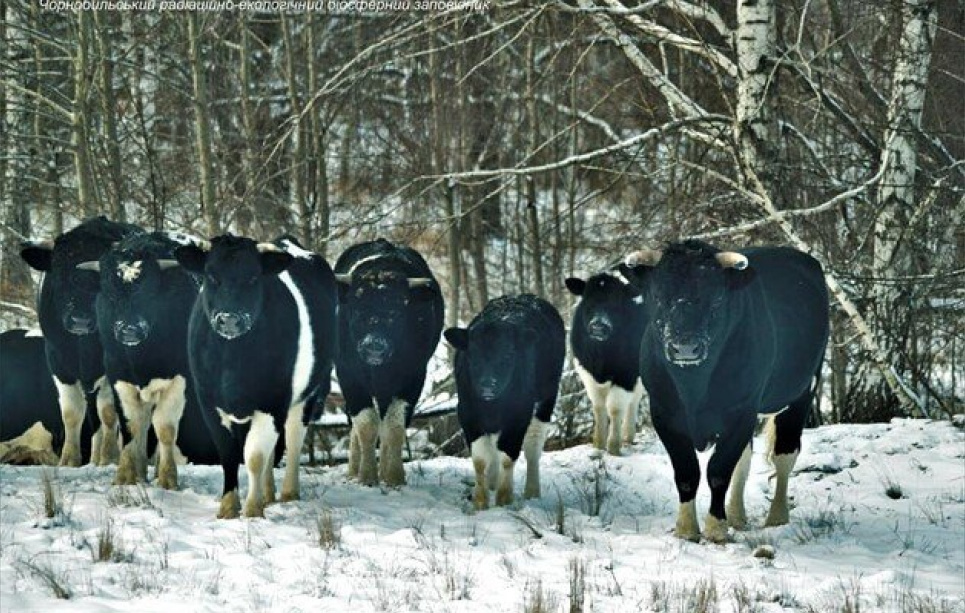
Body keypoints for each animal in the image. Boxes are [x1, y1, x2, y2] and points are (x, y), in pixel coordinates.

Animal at [175, 234, 338, 516]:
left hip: (307, 394)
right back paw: (268, 494)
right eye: (211, 275)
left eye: (253, 277)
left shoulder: (272, 401)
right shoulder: (209, 401)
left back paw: (288, 493)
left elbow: (254, 456)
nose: (230, 319)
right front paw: (229, 507)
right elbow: (229, 454)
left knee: (293, 439)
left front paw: (252, 509)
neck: (233, 359)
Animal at [332, 237, 444, 486]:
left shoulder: (413, 376)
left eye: (396, 310)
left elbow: (394, 426)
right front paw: (366, 476)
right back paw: (353, 468)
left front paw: (393, 476)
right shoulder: (348, 375)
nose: (374, 345)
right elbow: (365, 424)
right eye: (356, 308)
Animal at [444, 294, 564, 510]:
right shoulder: (467, 413)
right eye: (472, 354)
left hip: (546, 399)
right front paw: (480, 502)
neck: (492, 405)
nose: (488, 385)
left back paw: (532, 491)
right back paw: (492, 481)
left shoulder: (518, 416)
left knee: (533, 446)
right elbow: (480, 459)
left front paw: (503, 500)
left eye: (508, 354)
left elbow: (508, 456)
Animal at [624, 241, 828, 544]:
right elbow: (687, 472)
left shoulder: (740, 411)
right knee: (744, 461)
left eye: (717, 299)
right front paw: (686, 529)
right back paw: (737, 516)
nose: (685, 347)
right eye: (658, 296)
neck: (693, 386)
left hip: (801, 392)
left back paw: (777, 518)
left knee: (784, 456)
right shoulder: (664, 412)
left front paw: (715, 529)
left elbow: (719, 471)